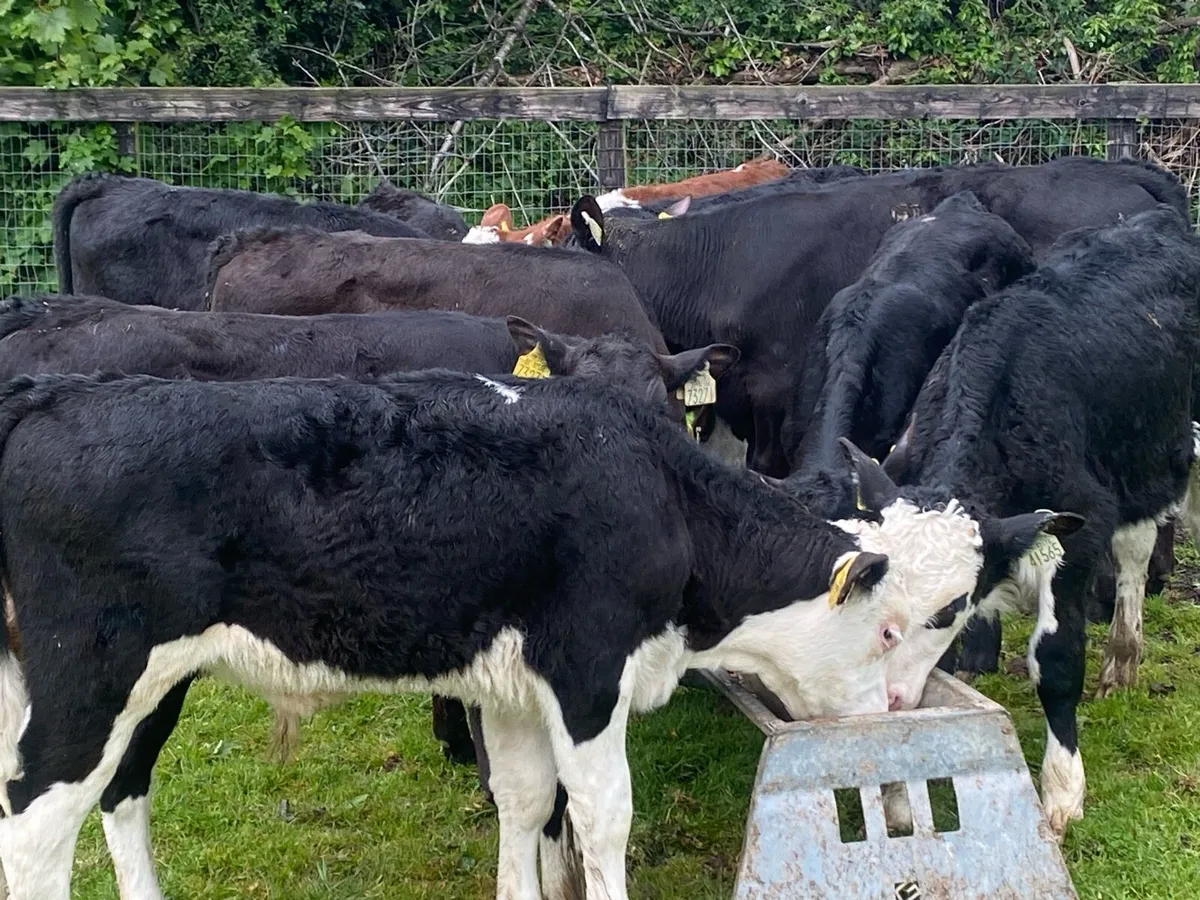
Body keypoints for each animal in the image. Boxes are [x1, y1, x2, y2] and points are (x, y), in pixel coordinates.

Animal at [0, 370, 1032, 900]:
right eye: (893, 627)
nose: (893, 711)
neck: (663, 496)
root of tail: (45, 396)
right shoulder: (585, 670)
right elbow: (604, 815)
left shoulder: (511, 684)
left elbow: (527, 804)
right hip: (90, 679)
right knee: (36, 829)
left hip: (94, 682)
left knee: (106, 797)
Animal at [860, 205, 1200, 836]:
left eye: (947, 608)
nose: (884, 697)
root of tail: (1155, 219)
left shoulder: (1078, 535)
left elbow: (1057, 663)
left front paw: (1063, 790)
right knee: (1137, 549)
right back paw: (1123, 659)